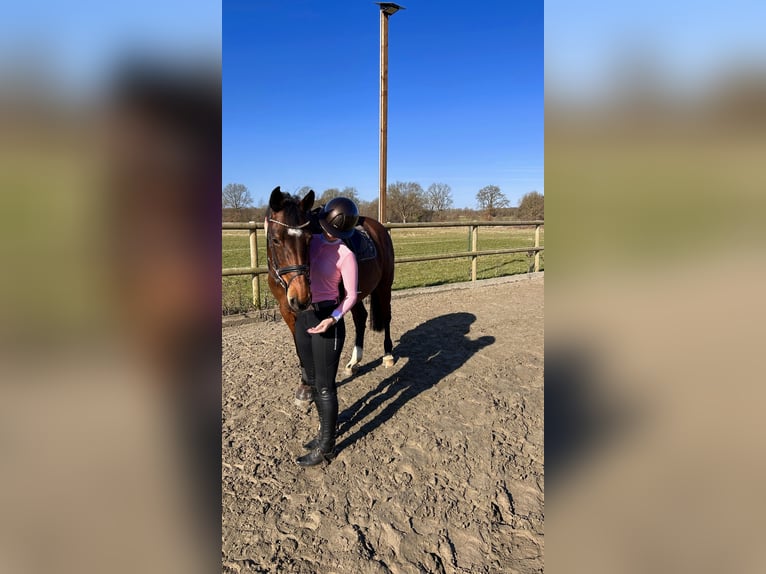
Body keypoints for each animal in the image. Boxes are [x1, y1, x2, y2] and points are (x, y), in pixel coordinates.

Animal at [265, 186, 395, 405]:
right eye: (275, 239)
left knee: (386, 316)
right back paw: (354, 362)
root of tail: (379, 229)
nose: (301, 298)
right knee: (361, 318)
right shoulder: (287, 310)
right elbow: (300, 348)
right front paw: (305, 387)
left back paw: (388, 355)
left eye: (308, 239)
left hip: (384, 287)